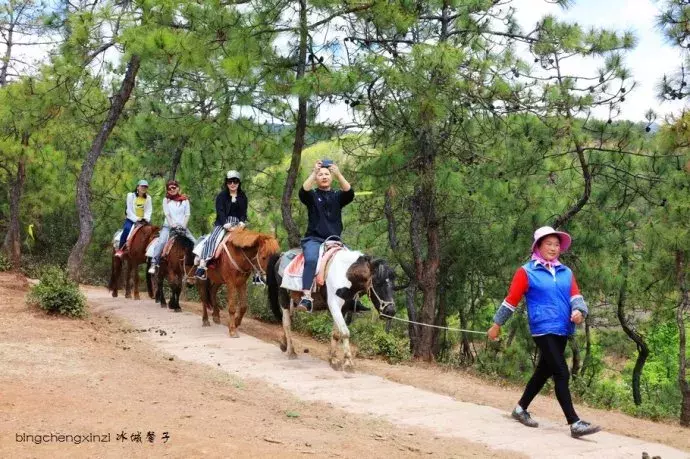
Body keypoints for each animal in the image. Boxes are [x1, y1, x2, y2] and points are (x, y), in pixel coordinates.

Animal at [264, 250, 396, 372]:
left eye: (394, 285)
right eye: (378, 283)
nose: (390, 311)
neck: (345, 274)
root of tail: (282, 255)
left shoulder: (343, 308)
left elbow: (336, 334)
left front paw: (333, 359)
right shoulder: (334, 305)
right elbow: (345, 332)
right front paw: (348, 363)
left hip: (294, 299)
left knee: (288, 319)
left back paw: (284, 344)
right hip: (283, 296)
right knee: (287, 323)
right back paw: (291, 351)